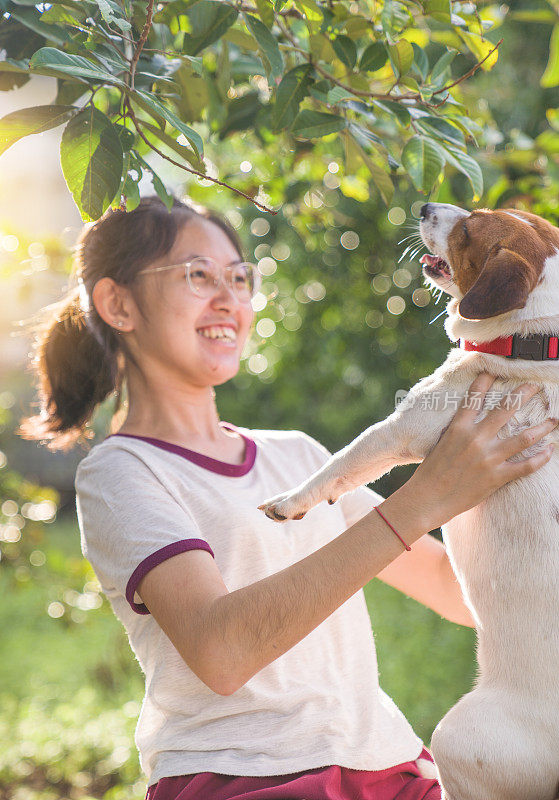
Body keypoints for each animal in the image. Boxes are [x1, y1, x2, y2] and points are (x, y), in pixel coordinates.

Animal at [260, 205, 559, 800]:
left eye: (468, 230)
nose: (422, 208)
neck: (536, 340)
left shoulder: (402, 430)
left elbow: (341, 463)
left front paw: (292, 500)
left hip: (460, 738)